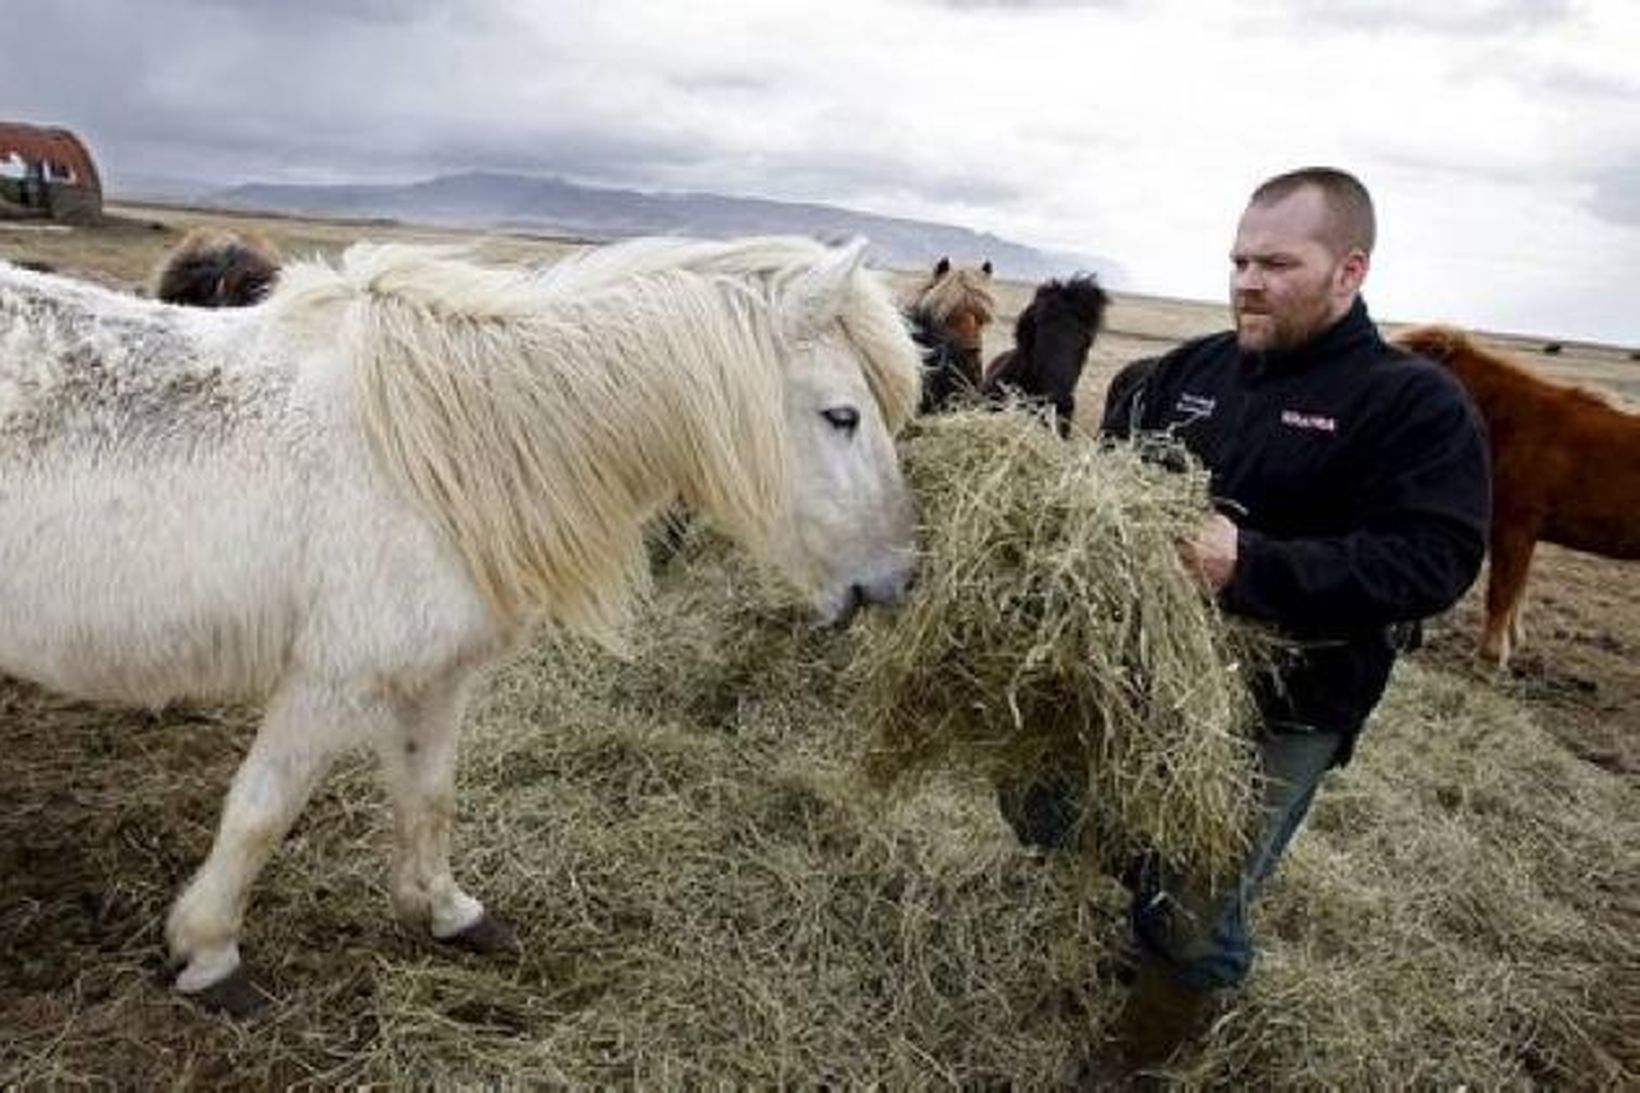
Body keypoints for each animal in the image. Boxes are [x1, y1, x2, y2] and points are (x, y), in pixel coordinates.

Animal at [0, 234, 924, 1010]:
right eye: (842, 415)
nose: (900, 578)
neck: (450, 447)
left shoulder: (438, 677)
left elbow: (430, 792)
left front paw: (448, 911)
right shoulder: (332, 680)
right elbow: (260, 811)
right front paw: (209, 953)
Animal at [1397, 323, 1640, 663]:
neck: (1514, 424)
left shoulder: (1513, 528)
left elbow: (1501, 592)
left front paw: (1490, 654)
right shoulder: (1525, 534)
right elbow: (1517, 591)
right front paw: (1512, 641)